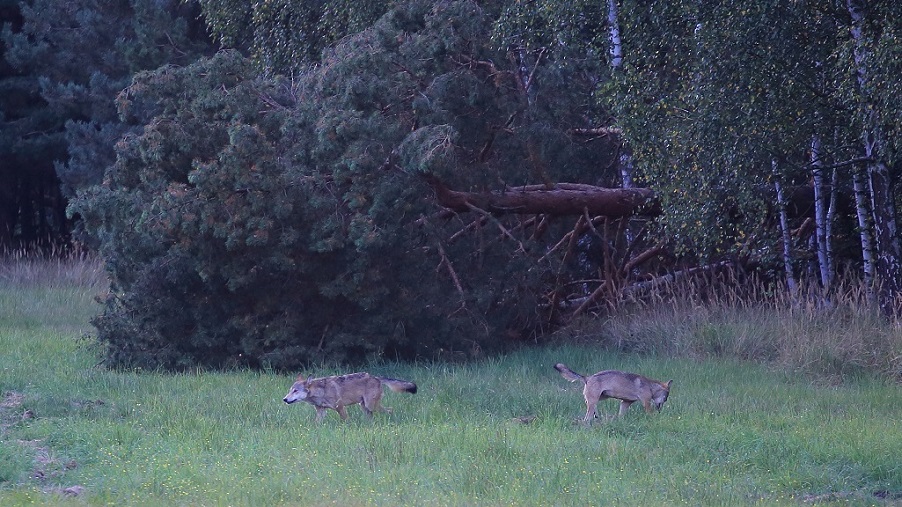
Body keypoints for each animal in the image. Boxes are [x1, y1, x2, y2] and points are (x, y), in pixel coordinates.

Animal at [282, 372, 417, 422]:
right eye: (290, 391)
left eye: (295, 391)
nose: (284, 399)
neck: (321, 392)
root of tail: (376, 377)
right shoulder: (321, 411)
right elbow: (316, 424)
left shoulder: (340, 407)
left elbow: (345, 421)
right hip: (364, 407)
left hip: (371, 406)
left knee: (390, 410)